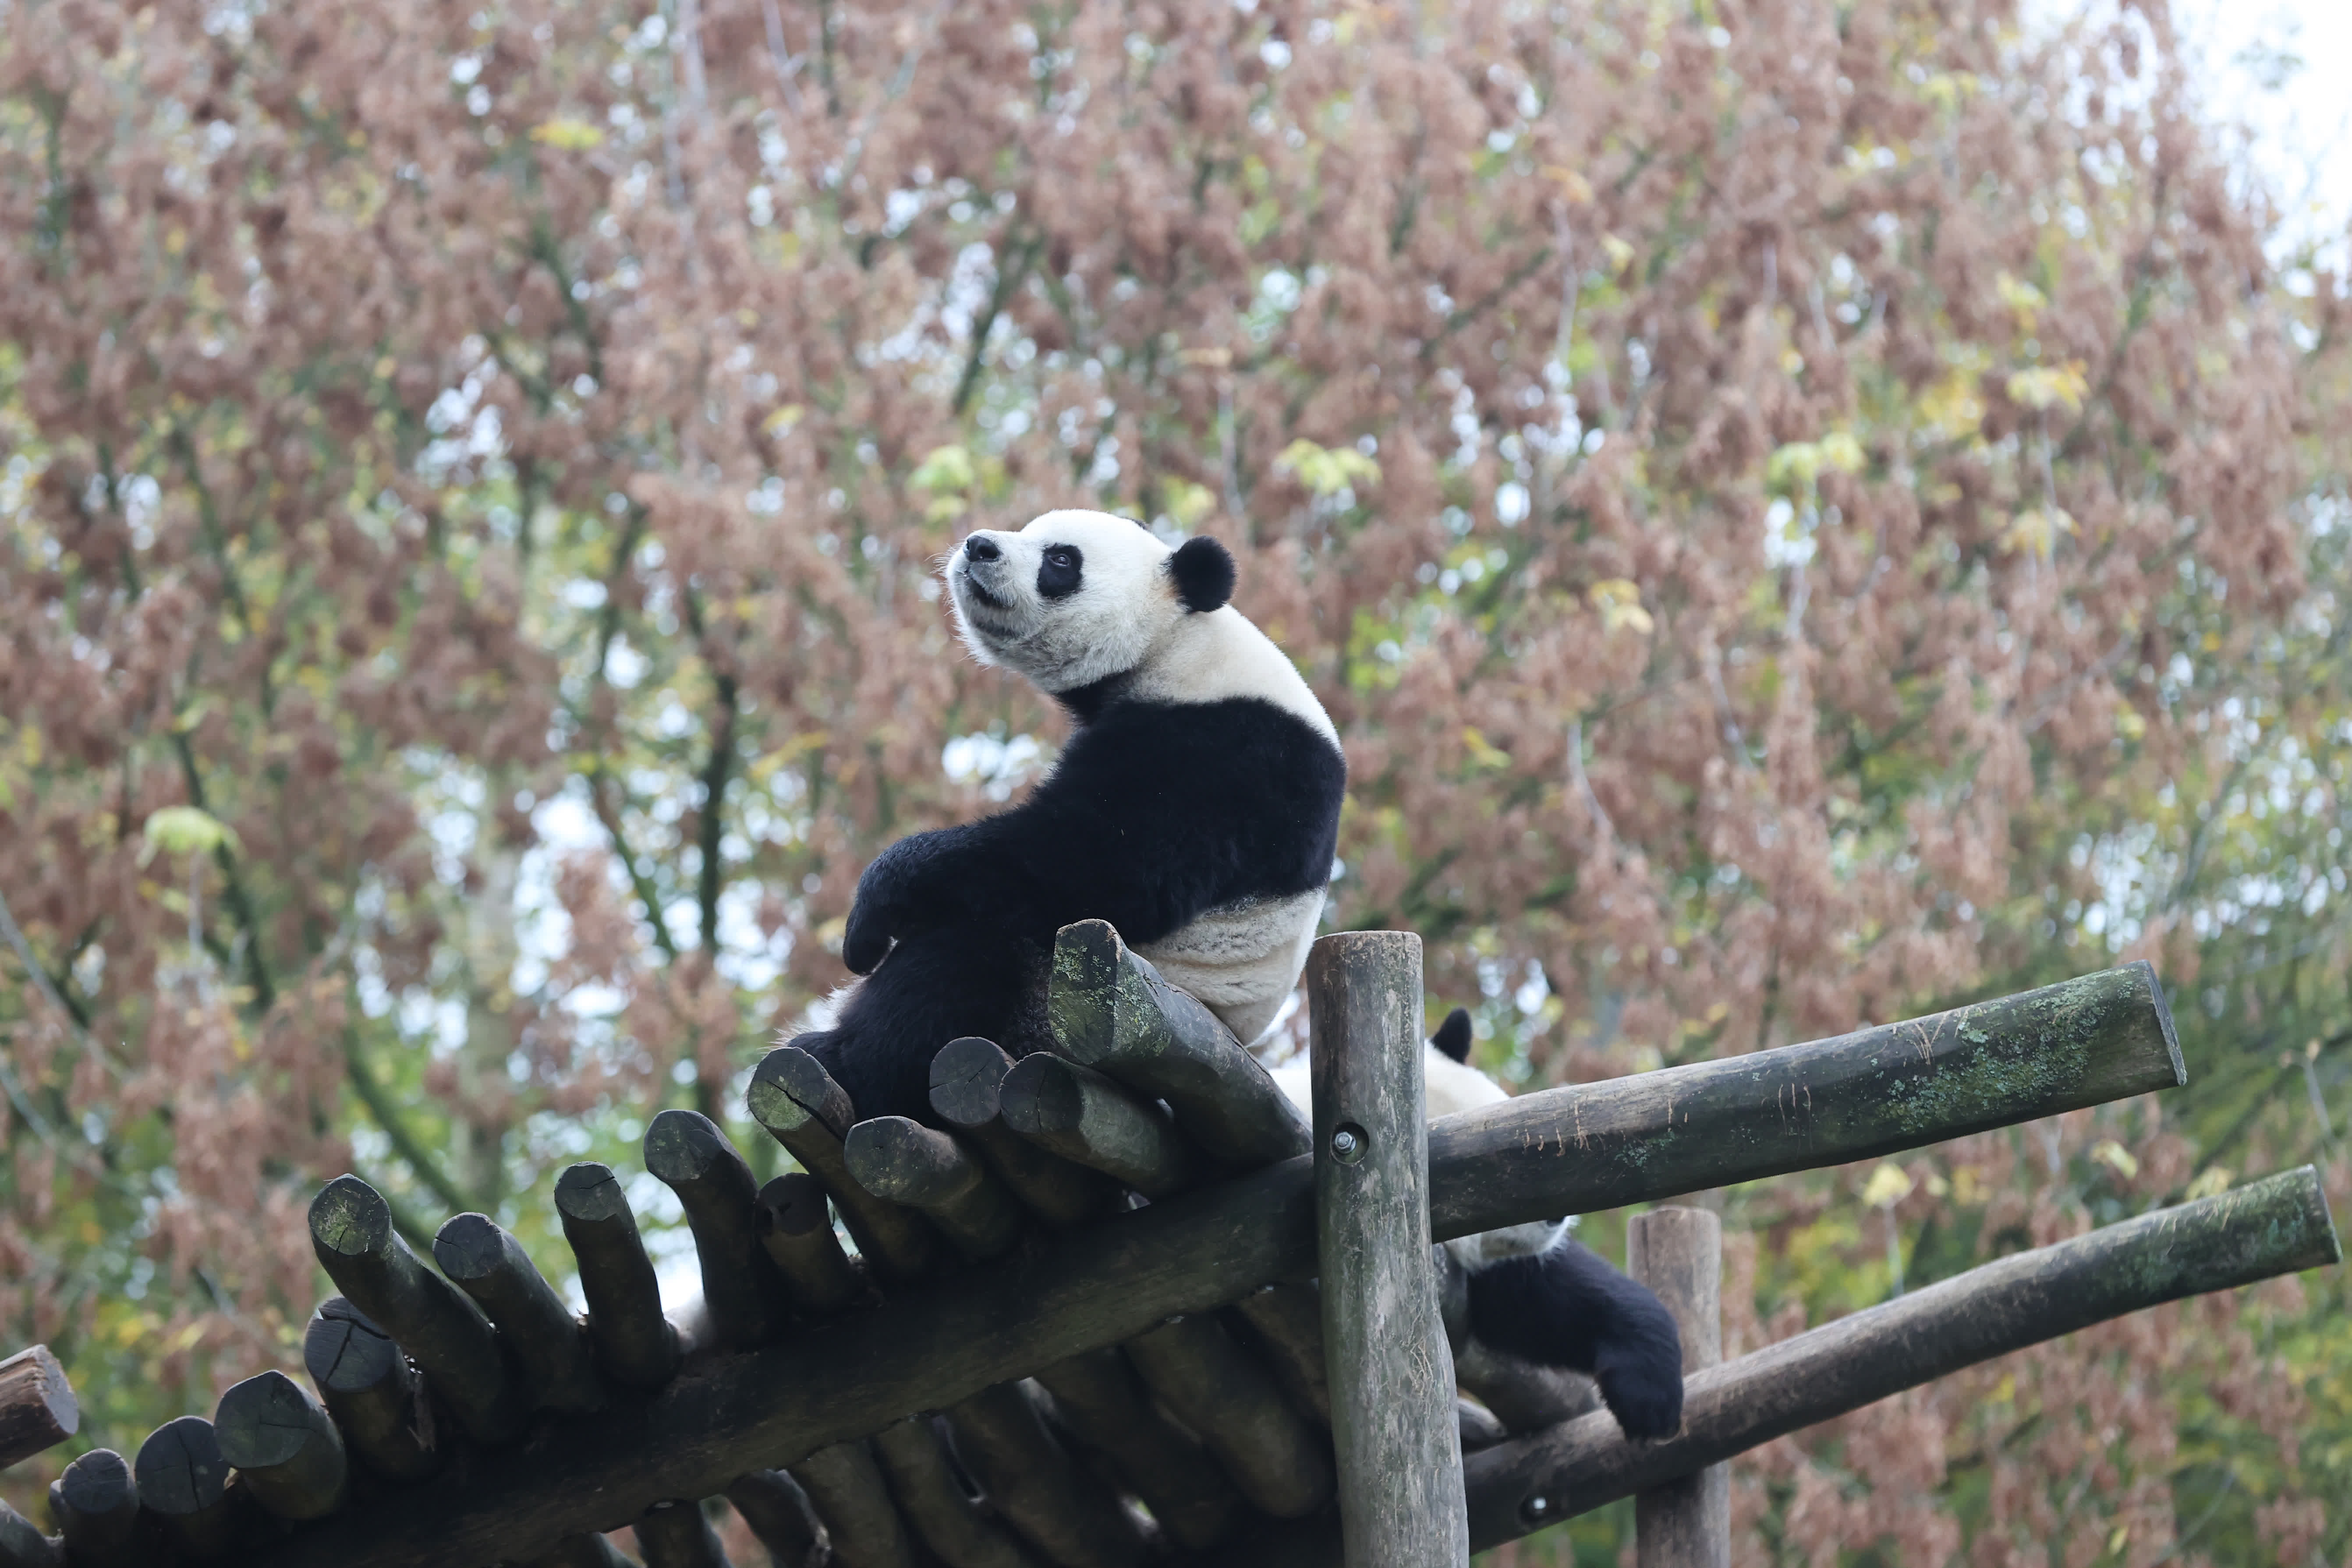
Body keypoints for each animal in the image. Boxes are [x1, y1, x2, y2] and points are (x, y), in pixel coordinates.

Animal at [795, 512, 1354, 1128]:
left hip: (1056, 1007)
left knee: (962, 956)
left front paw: (870, 917)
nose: (979, 546)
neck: (1181, 645)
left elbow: (1098, 860)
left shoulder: (1226, 755)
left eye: (1061, 560)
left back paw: (840, 1059)